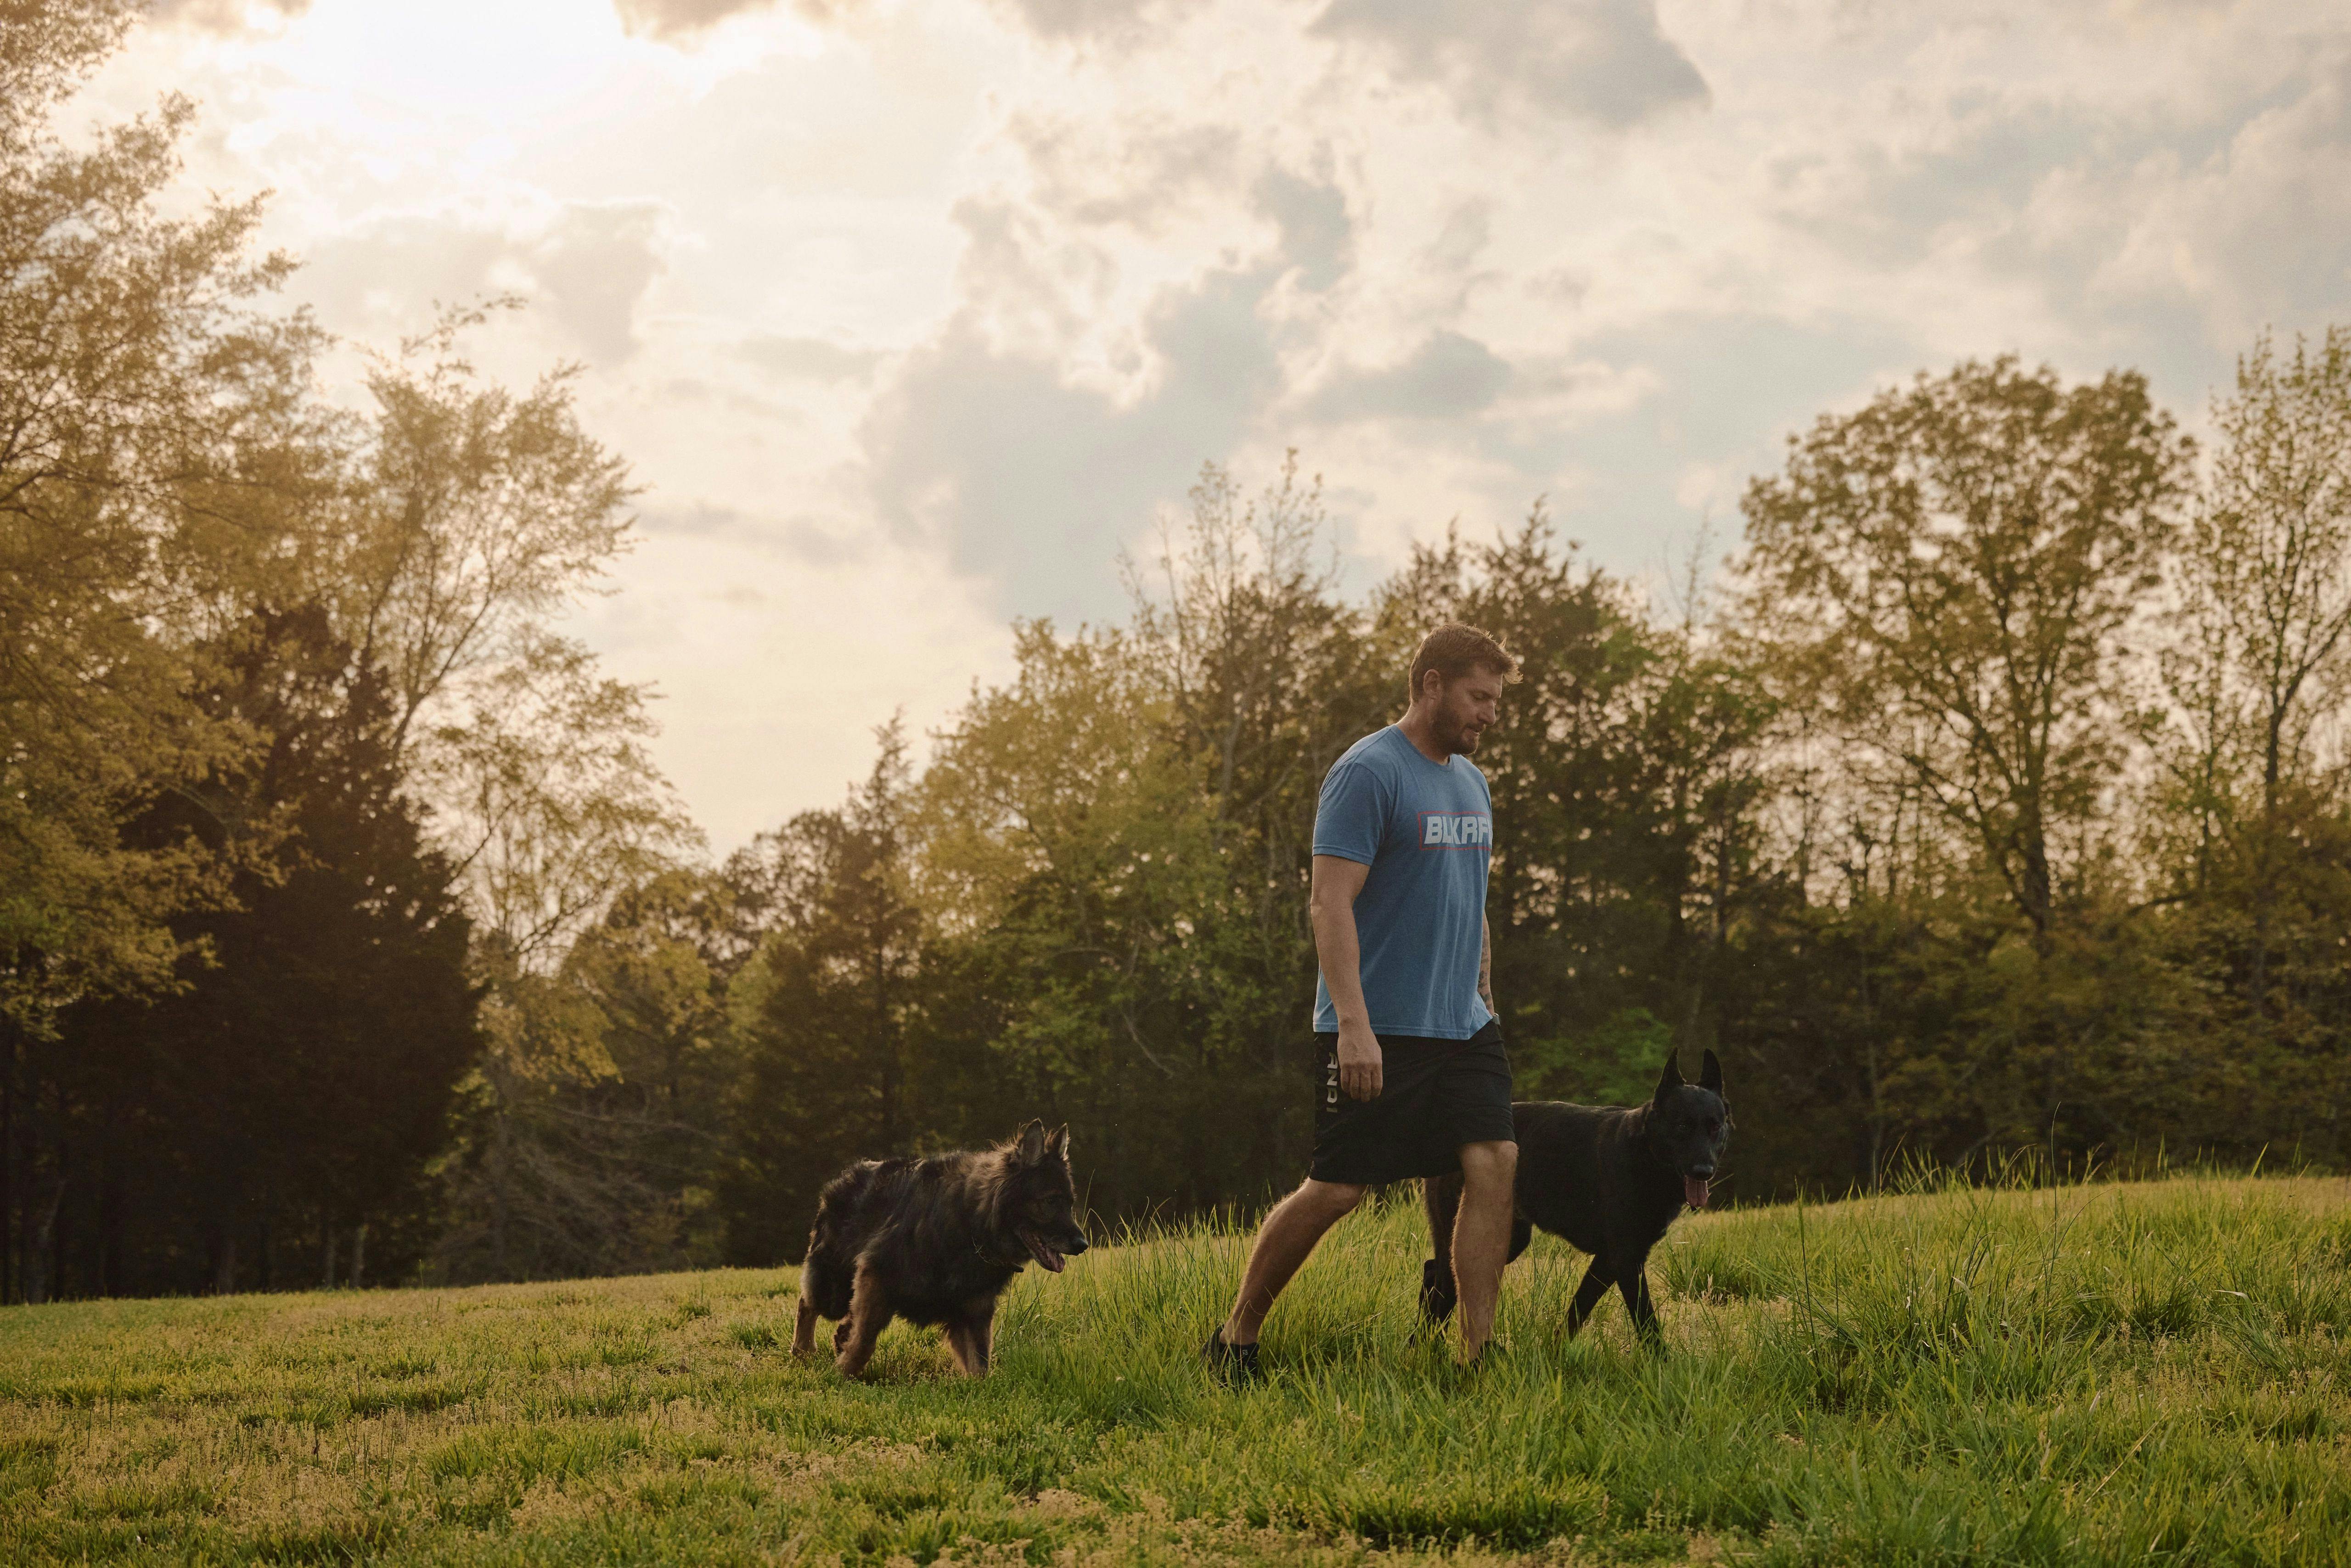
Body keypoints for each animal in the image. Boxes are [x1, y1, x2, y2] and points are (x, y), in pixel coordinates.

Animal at [790, 1124, 1081, 1382]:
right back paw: (803, 1350)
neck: (972, 1224)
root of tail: (846, 1176)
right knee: (808, 1303)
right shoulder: (876, 1277)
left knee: (840, 1321)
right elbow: (864, 1341)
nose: (1083, 1244)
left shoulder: (975, 1310)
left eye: (1070, 1204)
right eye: (1050, 1201)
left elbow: (981, 1363)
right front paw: (843, 1374)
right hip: (834, 1291)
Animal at [1411, 1048, 1730, 1344]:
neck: (1646, 1153)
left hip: (1507, 1238)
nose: (1704, 1172)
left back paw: (1421, 1344)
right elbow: (1647, 1324)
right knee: (1442, 1285)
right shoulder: (1626, 1260)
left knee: (1433, 1273)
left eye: (1715, 1126)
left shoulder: (1610, 1261)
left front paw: (1553, 1353)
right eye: (1682, 1126)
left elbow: (1577, 1313)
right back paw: (1429, 1346)